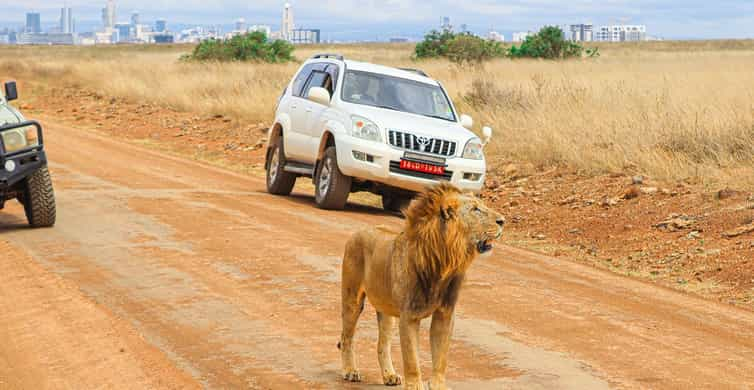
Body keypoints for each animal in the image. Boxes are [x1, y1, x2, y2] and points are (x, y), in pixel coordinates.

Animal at [340, 183, 506, 390]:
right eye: (475, 209)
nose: (503, 221)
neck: (446, 262)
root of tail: (359, 231)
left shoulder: (445, 313)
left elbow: (441, 356)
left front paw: (437, 385)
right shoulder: (409, 315)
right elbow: (411, 357)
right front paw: (414, 385)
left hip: (386, 310)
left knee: (382, 344)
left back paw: (389, 375)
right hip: (352, 299)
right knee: (347, 337)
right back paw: (350, 371)